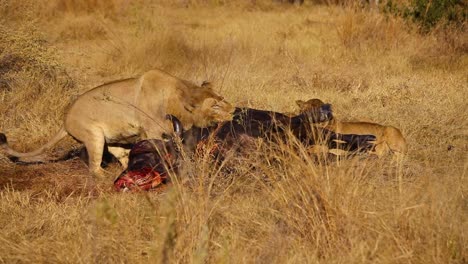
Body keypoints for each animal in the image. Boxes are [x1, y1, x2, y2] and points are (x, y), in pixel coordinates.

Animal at [0, 69, 234, 176]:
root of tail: (65, 120)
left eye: (222, 98)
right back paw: (105, 177)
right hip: (93, 136)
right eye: (215, 106)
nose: (233, 110)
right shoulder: (152, 132)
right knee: (94, 168)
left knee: (121, 155)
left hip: (112, 139)